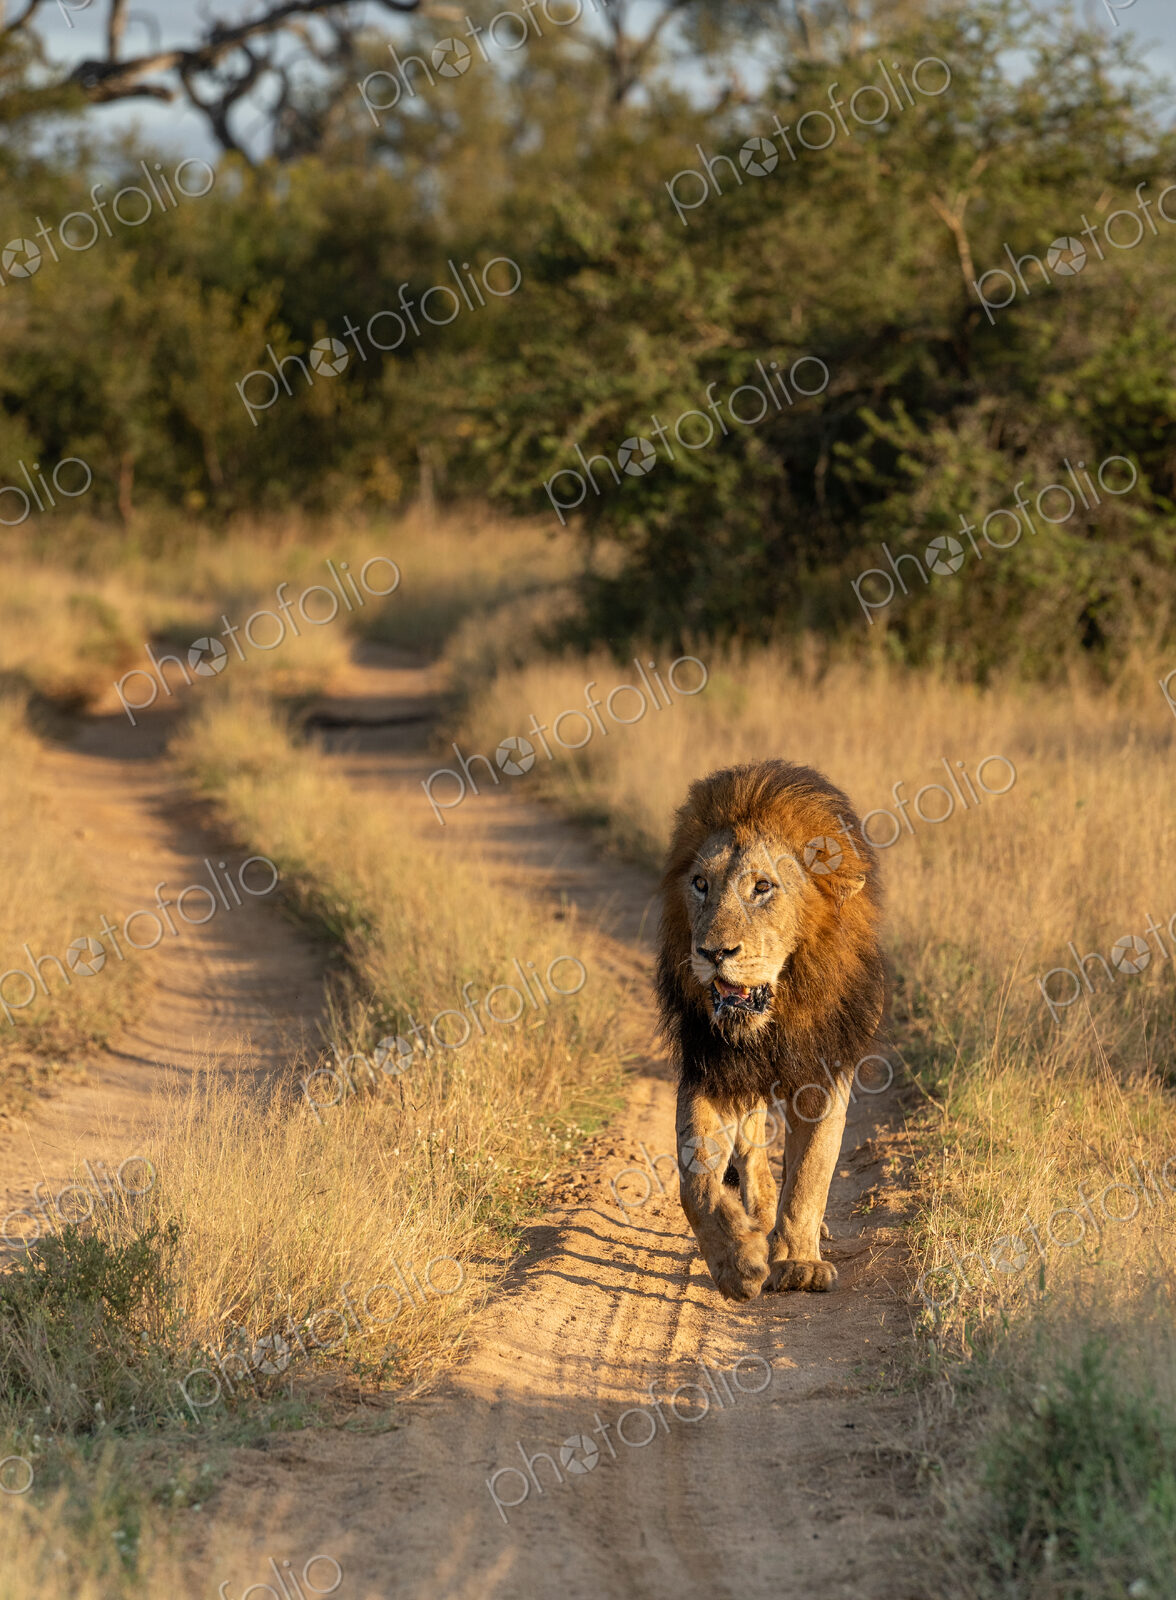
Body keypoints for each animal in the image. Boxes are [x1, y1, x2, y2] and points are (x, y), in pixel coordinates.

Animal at [655, 759, 886, 1301]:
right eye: (700, 884)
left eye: (762, 888)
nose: (713, 952)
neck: (775, 1014)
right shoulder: (711, 1067)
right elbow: (695, 1181)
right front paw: (737, 1262)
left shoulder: (826, 1071)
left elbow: (810, 1173)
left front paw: (799, 1263)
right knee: (752, 1148)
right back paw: (758, 1218)